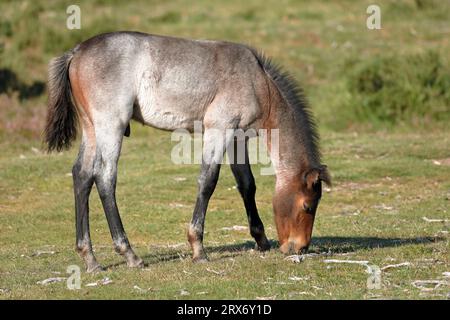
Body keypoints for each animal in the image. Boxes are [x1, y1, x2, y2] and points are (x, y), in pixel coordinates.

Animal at [44, 32, 328, 272]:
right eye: (307, 206)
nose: (300, 247)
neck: (257, 81)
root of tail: (77, 52)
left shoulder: (237, 137)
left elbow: (247, 184)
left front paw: (261, 240)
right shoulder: (219, 129)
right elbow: (208, 182)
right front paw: (198, 248)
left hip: (91, 129)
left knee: (82, 175)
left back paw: (90, 258)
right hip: (111, 126)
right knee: (104, 177)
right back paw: (130, 254)